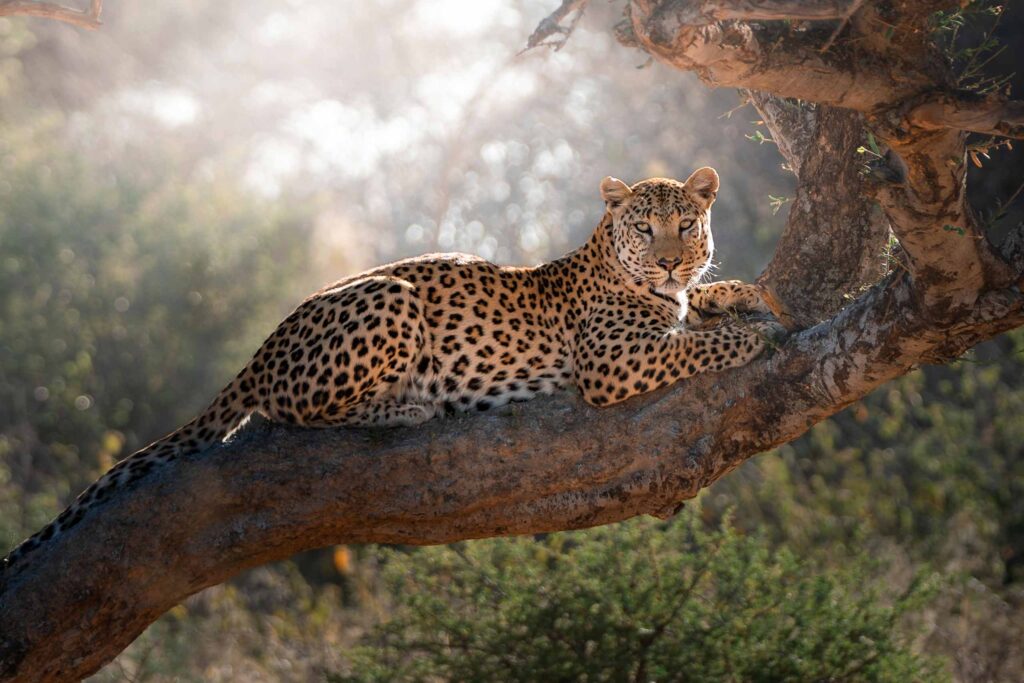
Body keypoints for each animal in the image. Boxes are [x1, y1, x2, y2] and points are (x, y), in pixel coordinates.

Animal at [2, 166, 780, 572]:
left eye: (687, 224)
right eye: (644, 228)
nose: (671, 260)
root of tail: (262, 346)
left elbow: (700, 309)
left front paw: (745, 295)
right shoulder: (612, 361)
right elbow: (690, 343)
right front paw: (747, 335)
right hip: (393, 298)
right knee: (295, 412)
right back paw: (410, 405)